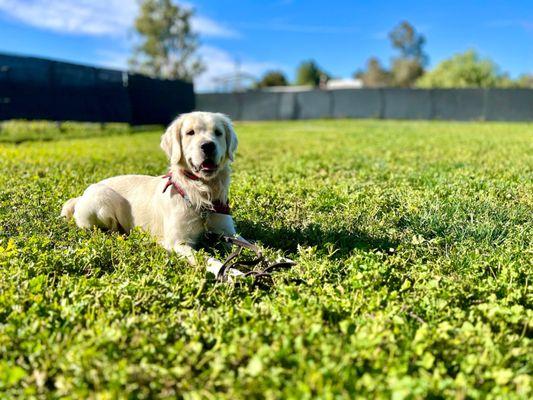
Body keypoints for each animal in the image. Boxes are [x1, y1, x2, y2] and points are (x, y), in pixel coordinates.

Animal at [62, 111, 243, 276]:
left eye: (218, 132)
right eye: (190, 132)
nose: (208, 145)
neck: (200, 194)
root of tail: (80, 197)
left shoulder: (228, 232)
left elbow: (247, 243)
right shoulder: (178, 242)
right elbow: (210, 260)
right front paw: (233, 274)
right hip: (105, 200)